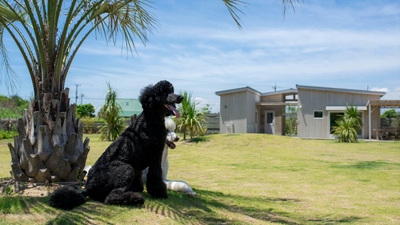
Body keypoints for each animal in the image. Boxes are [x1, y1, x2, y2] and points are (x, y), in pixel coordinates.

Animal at [48, 80, 184, 210]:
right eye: (164, 93)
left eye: (172, 90)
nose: (181, 97)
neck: (151, 118)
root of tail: (89, 186)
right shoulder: (155, 156)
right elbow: (155, 176)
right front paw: (160, 193)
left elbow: (139, 178)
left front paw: (138, 188)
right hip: (126, 169)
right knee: (111, 197)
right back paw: (136, 198)